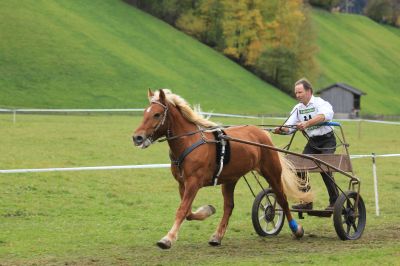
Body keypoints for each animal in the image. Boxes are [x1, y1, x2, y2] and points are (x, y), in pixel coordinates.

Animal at [133, 89, 314, 249]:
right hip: (230, 180)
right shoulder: (182, 183)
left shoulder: (193, 183)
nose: (137, 137)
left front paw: (168, 238)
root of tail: (262, 132)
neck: (190, 142)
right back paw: (217, 236)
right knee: (229, 206)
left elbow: (182, 210)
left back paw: (296, 229)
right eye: (144, 113)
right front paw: (207, 210)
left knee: (282, 199)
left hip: (271, 172)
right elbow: (188, 212)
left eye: (157, 114)